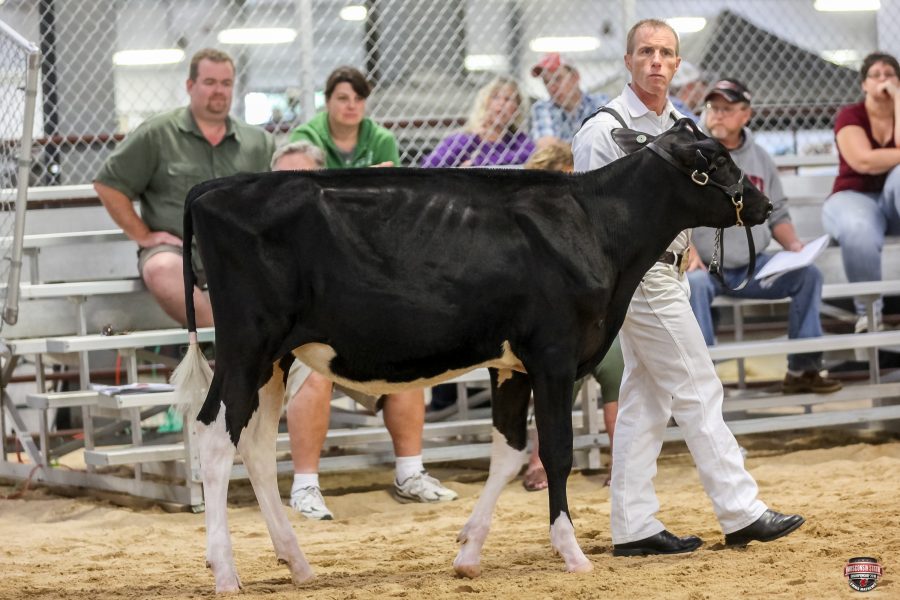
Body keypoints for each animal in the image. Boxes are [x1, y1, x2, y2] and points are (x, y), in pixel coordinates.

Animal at [173, 118, 772, 592]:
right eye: (717, 158)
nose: (765, 203)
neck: (597, 226)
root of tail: (213, 188)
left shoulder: (510, 364)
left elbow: (508, 452)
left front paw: (469, 552)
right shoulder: (554, 355)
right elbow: (556, 451)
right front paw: (572, 553)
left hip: (276, 359)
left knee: (252, 443)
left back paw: (296, 564)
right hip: (246, 344)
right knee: (215, 437)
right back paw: (225, 572)